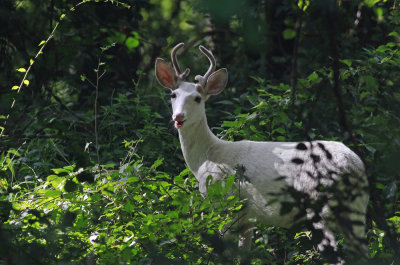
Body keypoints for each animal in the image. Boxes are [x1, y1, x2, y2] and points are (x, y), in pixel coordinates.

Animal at [155, 42, 370, 258]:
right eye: (173, 95)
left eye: (198, 98)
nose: (178, 117)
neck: (206, 157)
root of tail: (351, 166)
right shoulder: (247, 217)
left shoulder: (225, 203)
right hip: (357, 209)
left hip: (318, 204)